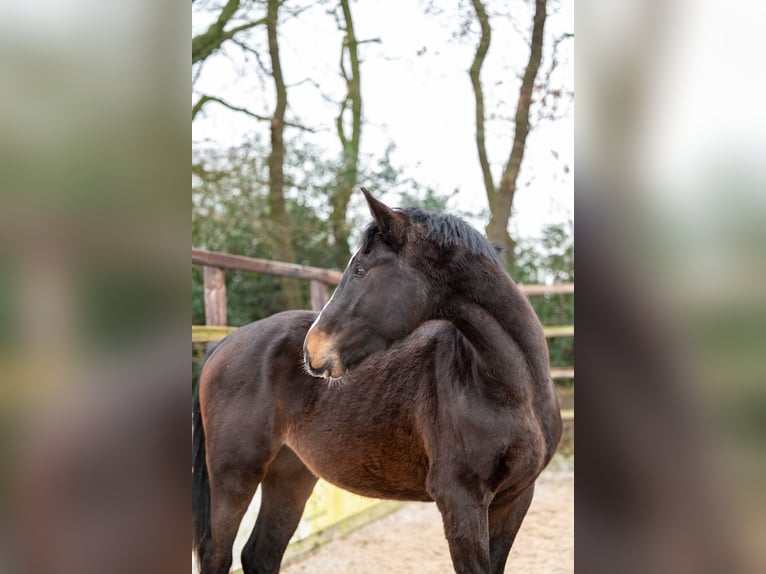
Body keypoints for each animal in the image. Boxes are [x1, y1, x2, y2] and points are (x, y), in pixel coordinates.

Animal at [192, 189, 564, 574]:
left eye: (360, 269)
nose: (313, 350)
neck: (509, 392)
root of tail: (224, 343)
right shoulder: (461, 501)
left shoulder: (515, 498)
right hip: (235, 476)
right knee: (218, 554)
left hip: (290, 476)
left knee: (260, 553)